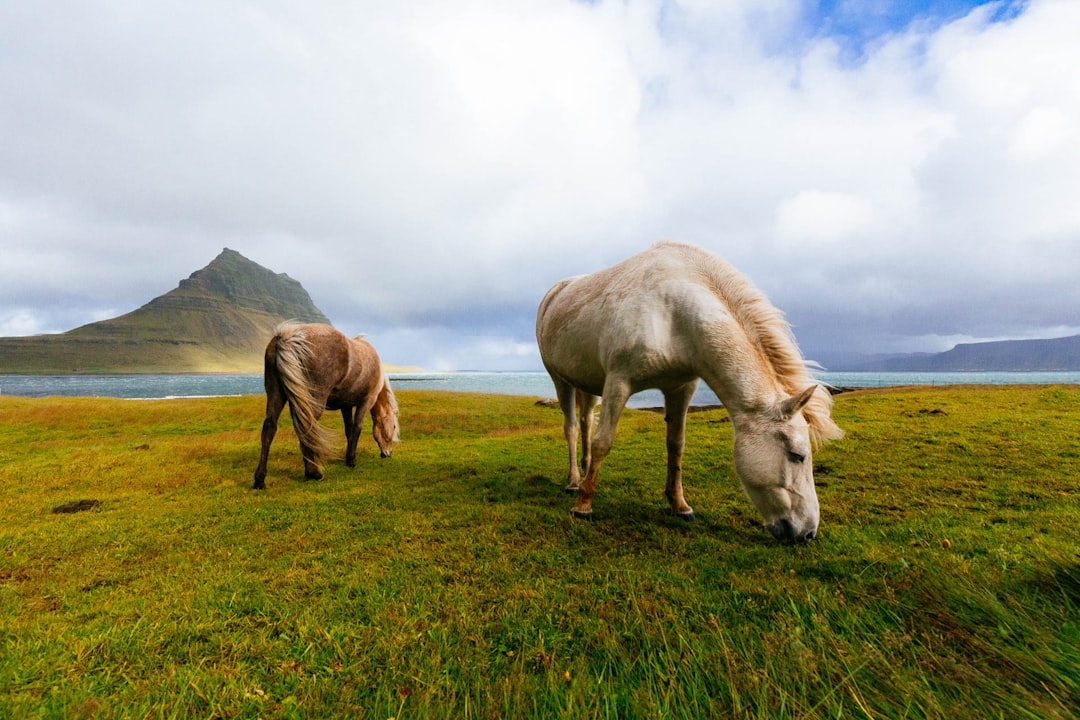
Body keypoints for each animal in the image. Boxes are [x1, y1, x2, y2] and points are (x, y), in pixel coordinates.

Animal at [250, 325, 399, 490]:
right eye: (393, 427)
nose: (388, 453)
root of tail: (287, 337)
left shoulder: (345, 405)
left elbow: (349, 429)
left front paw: (347, 457)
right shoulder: (366, 401)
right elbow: (357, 428)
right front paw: (352, 460)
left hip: (276, 395)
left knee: (270, 428)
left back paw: (260, 480)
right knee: (306, 428)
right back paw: (313, 473)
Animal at [535, 239, 838, 544]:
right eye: (797, 455)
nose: (808, 532)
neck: (673, 313)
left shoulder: (681, 388)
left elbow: (676, 445)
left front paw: (679, 505)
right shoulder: (619, 382)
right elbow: (603, 442)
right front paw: (583, 507)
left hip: (588, 385)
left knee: (586, 421)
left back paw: (585, 472)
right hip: (560, 379)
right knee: (572, 427)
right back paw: (575, 482)